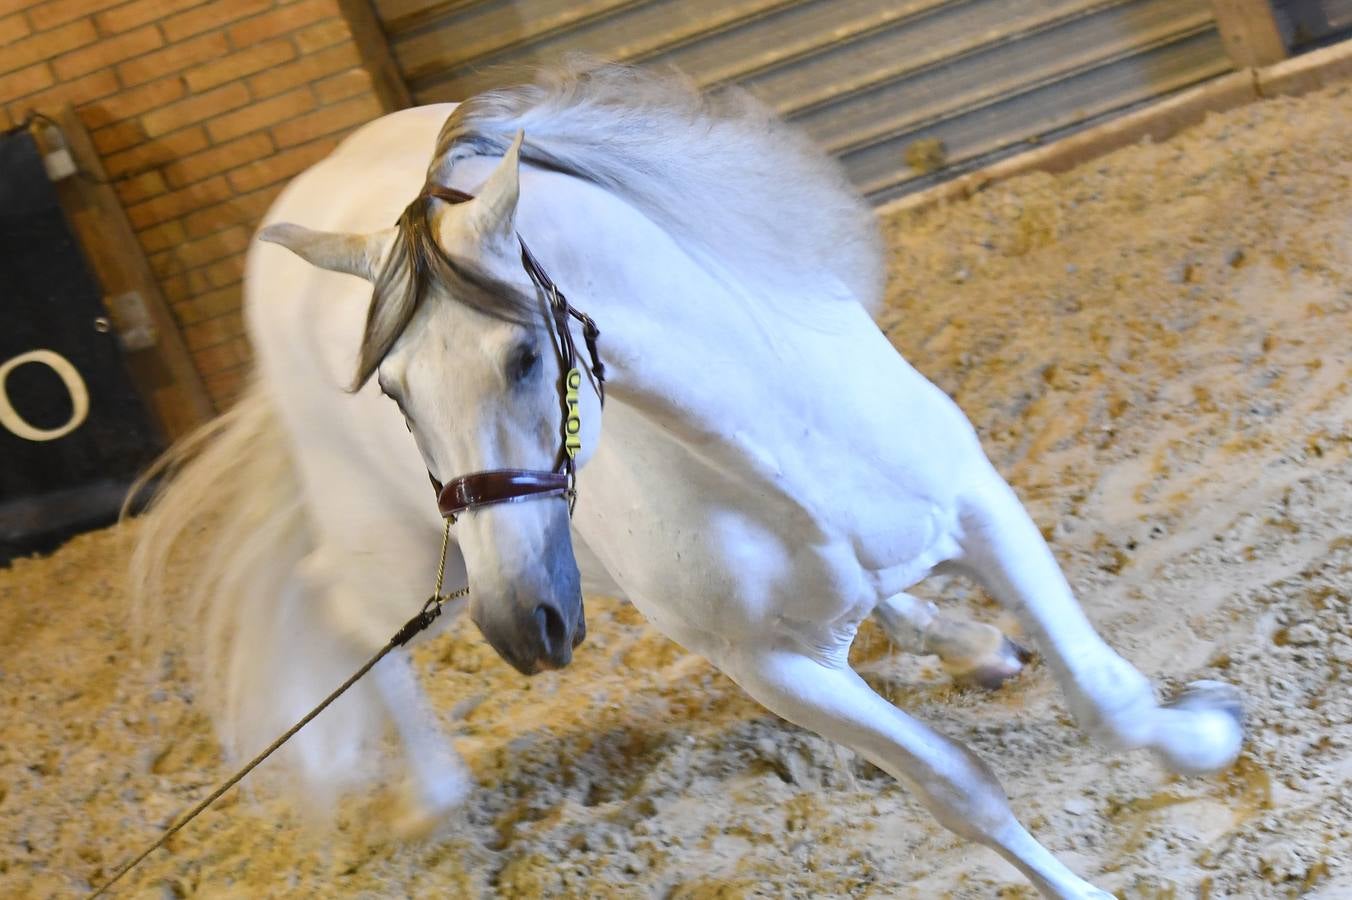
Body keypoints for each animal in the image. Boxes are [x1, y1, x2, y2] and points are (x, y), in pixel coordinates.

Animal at [131, 61, 1238, 891]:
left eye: (523, 358)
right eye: (394, 391)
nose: (524, 630)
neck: (763, 440)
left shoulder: (979, 508)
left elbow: (1106, 697)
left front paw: (1208, 734)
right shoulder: (773, 669)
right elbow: (960, 791)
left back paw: (968, 643)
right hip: (406, 545)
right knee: (351, 610)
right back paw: (436, 794)